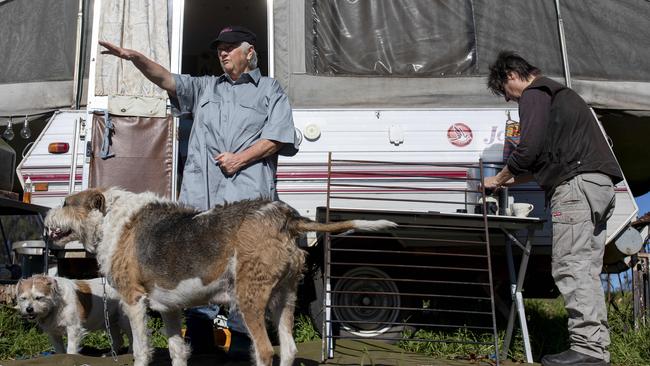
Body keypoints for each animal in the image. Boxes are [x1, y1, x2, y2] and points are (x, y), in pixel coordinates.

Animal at [44, 189, 394, 366]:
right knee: (289, 350)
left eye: (65, 203)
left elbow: (142, 351)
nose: (45, 215)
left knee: (265, 351)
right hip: (284, 298)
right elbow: (177, 350)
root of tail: (286, 217)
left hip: (249, 299)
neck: (111, 218)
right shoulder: (170, 308)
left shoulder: (134, 301)